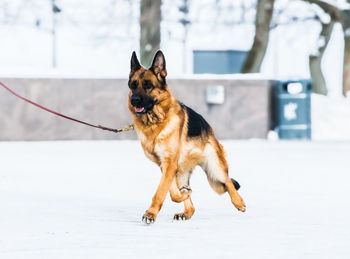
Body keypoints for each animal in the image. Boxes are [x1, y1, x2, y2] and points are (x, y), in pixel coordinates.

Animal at [127, 50, 245, 223]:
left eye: (149, 85)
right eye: (133, 85)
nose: (134, 100)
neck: (156, 122)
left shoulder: (169, 164)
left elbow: (160, 192)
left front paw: (150, 214)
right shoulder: (166, 165)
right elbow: (171, 192)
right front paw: (182, 194)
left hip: (214, 166)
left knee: (228, 181)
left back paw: (239, 202)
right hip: (182, 171)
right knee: (191, 201)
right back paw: (186, 209)